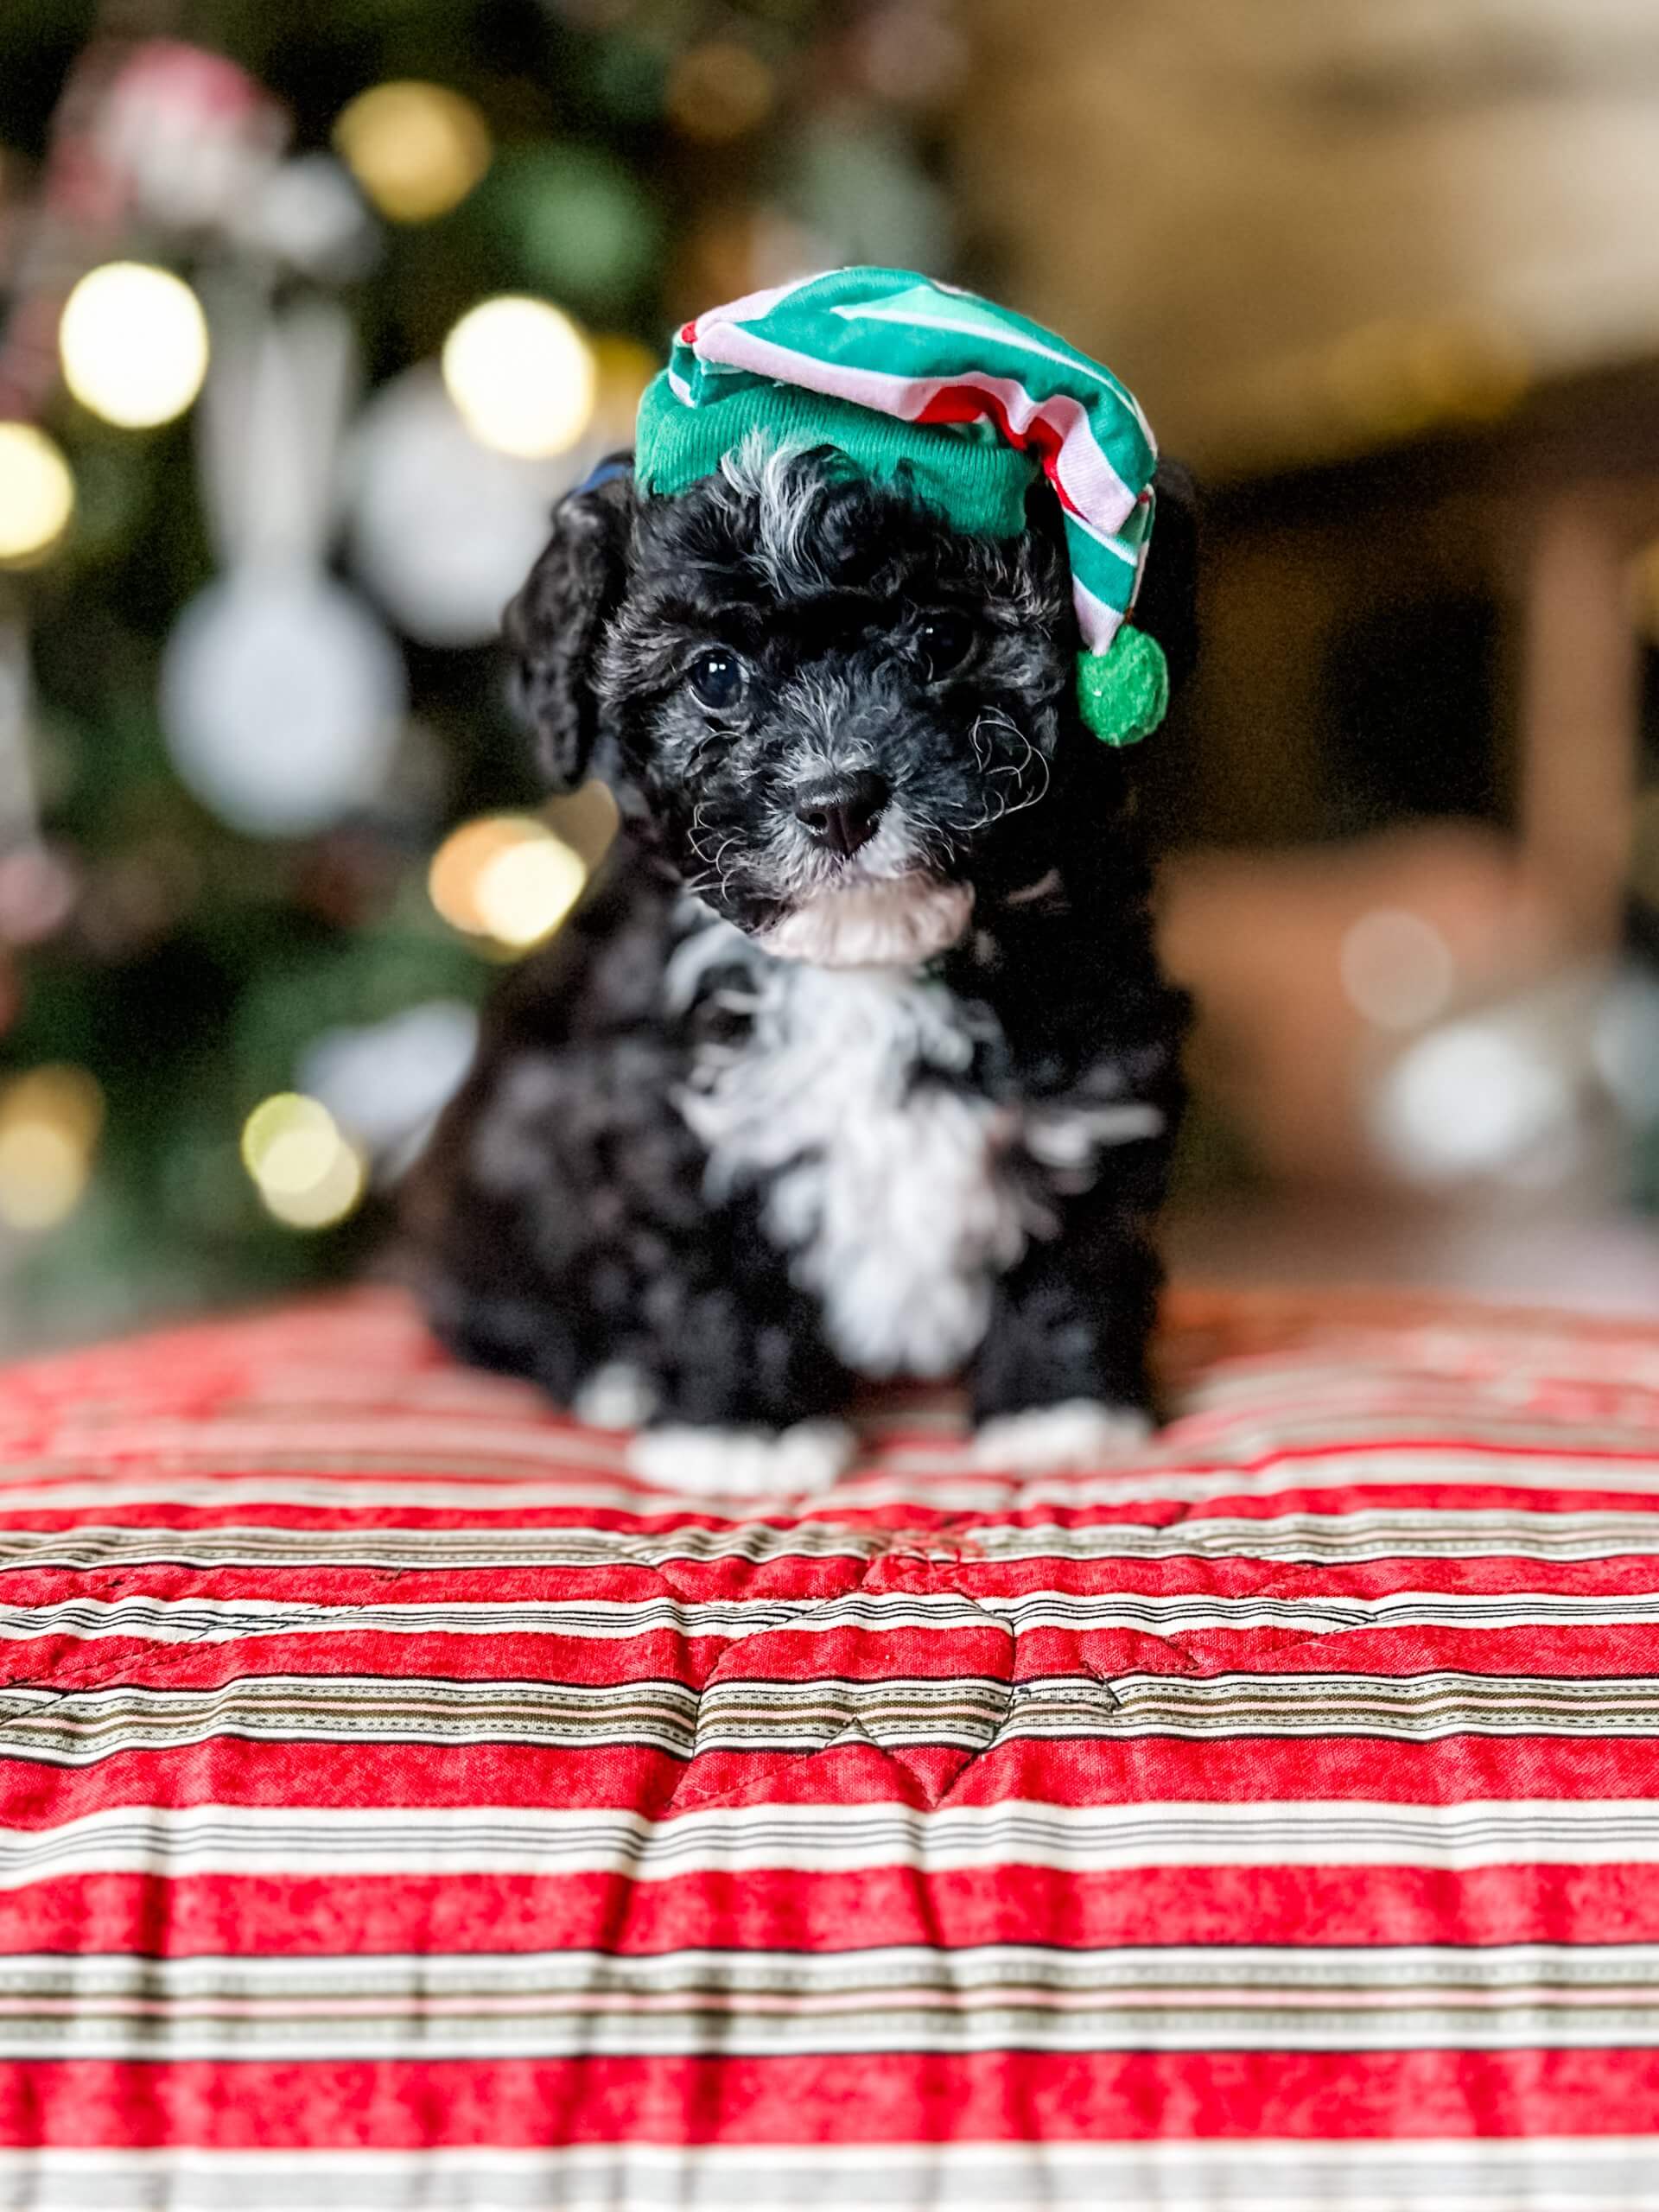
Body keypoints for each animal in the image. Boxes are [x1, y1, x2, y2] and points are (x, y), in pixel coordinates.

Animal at [413, 433, 1194, 1486]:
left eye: (943, 636)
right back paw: (612, 1374)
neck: (862, 960)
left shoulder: (1103, 1060)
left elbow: (1078, 1237)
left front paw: (1059, 1406)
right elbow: (710, 1260)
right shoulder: (663, 1110)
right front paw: (742, 1432)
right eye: (714, 674)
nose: (838, 802)